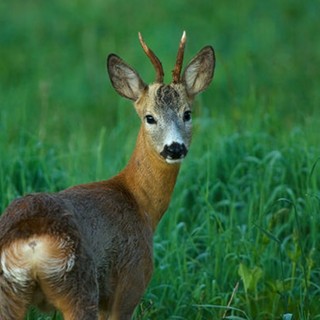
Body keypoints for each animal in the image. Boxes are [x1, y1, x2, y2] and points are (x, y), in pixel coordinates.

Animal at [0, 32, 215, 320]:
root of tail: (30, 242)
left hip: (9, 293)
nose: (174, 148)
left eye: (187, 113)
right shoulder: (131, 281)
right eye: (149, 117)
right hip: (80, 284)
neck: (140, 204)